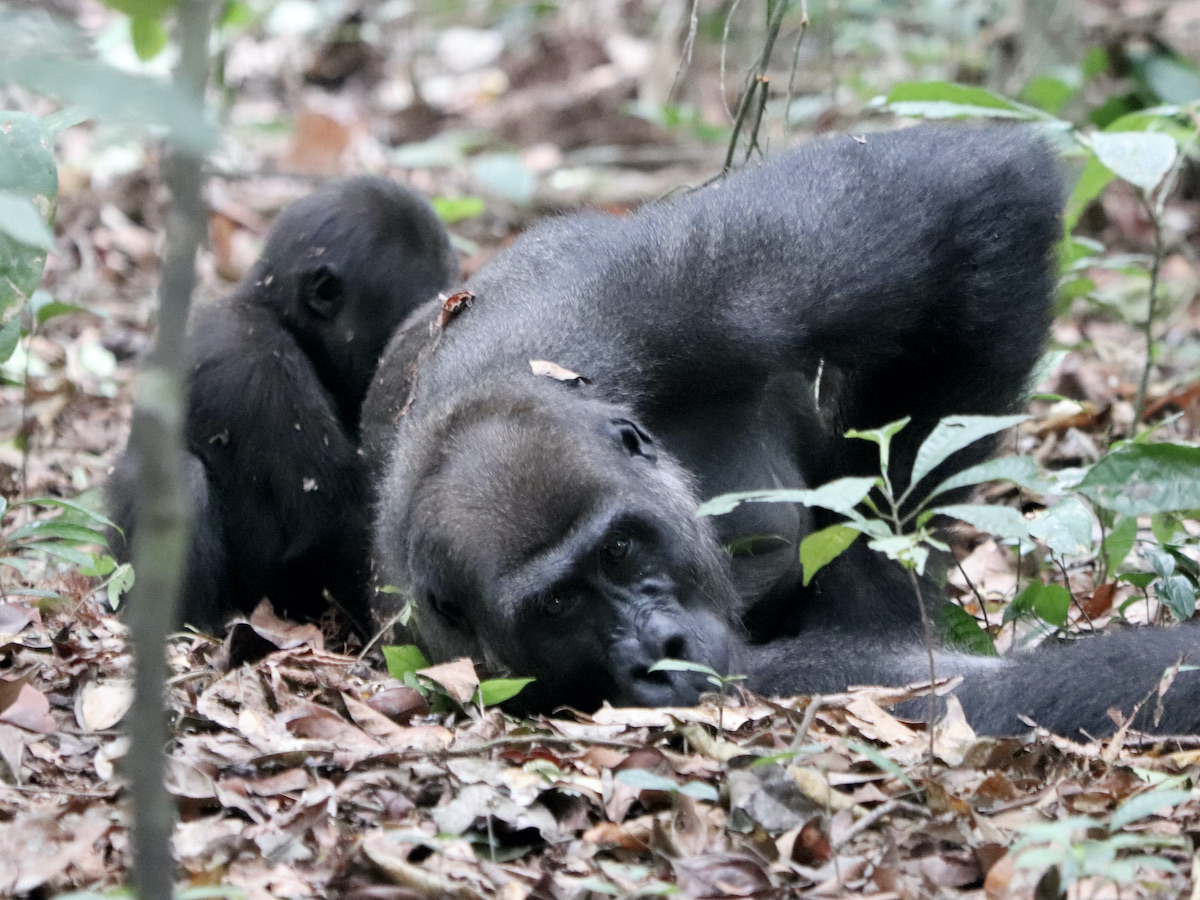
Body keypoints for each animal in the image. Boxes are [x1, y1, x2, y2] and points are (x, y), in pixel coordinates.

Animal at [360, 125, 1200, 736]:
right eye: (559, 607)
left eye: (621, 549)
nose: (659, 651)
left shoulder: (663, 294)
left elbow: (978, 197)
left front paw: (879, 586)